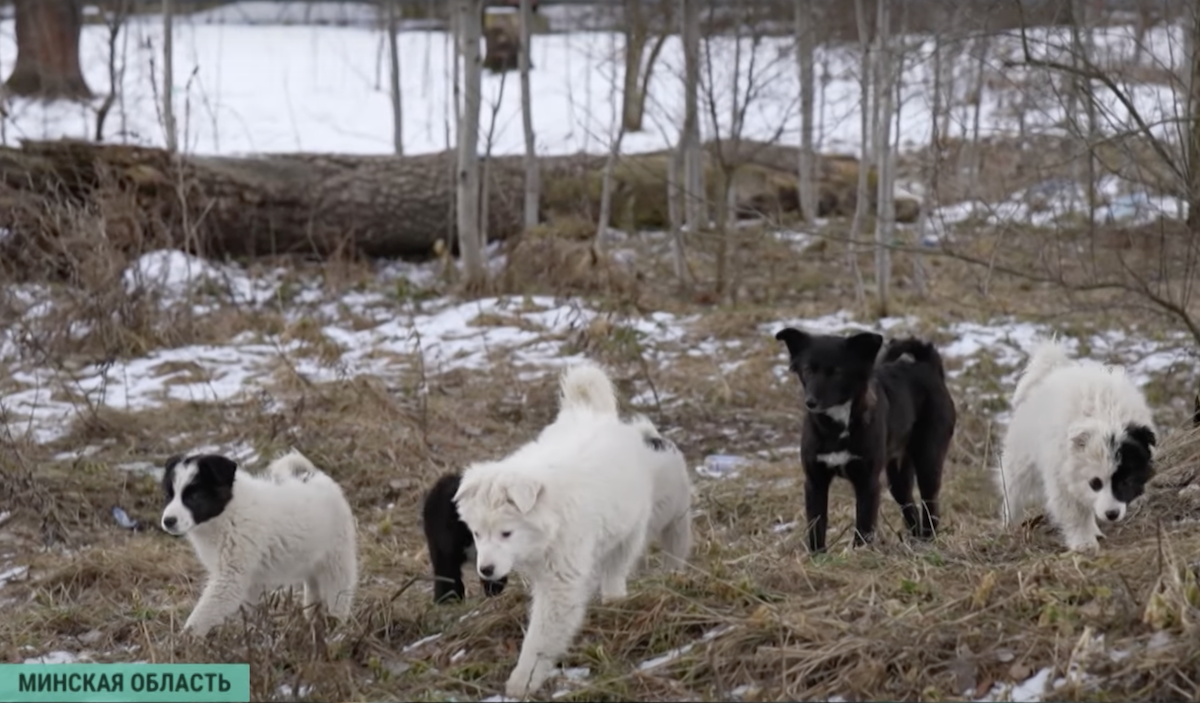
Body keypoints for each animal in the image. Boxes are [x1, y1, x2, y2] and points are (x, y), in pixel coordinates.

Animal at [159, 448, 357, 633]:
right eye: (169, 495)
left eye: (194, 496)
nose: (168, 521)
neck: (227, 513)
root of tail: (318, 476)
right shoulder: (248, 580)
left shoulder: (230, 577)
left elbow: (202, 614)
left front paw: (184, 639)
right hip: (311, 564)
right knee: (314, 594)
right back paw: (314, 624)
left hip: (337, 561)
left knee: (339, 596)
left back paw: (337, 630)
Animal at [451, 357, 696, 695]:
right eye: (476, 533)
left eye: (506, 533)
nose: (485, 570)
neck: (548, 517)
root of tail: (593, 412)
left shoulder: (561, 581)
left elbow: (542, 635)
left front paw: (522, 681)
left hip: (631, 527)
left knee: (618, 566)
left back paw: (615, 597)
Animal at [772, 328, 960, 551]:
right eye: (808, 370)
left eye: (837, 372)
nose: (810, 402)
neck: (838, 426)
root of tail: (928, 366)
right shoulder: (815, 481)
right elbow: (816, 524)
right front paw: (818, 555)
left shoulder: (867, 482)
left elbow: (863, 525)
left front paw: (859, 553)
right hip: (898, 477)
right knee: (910, 506)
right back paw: (916, 542)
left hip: (928, 461)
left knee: (930, 506)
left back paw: (928, 541)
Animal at [993, 338, 1152, 551]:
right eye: (1095, 483)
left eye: (1127, 481)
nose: (1111, 514)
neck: (1105, 419)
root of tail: (1052, 370)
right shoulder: (1061, 474)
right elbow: (1073, 511)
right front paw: (1084, 543)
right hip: (1022, 458)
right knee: (1012, 489)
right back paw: (1008, 523)